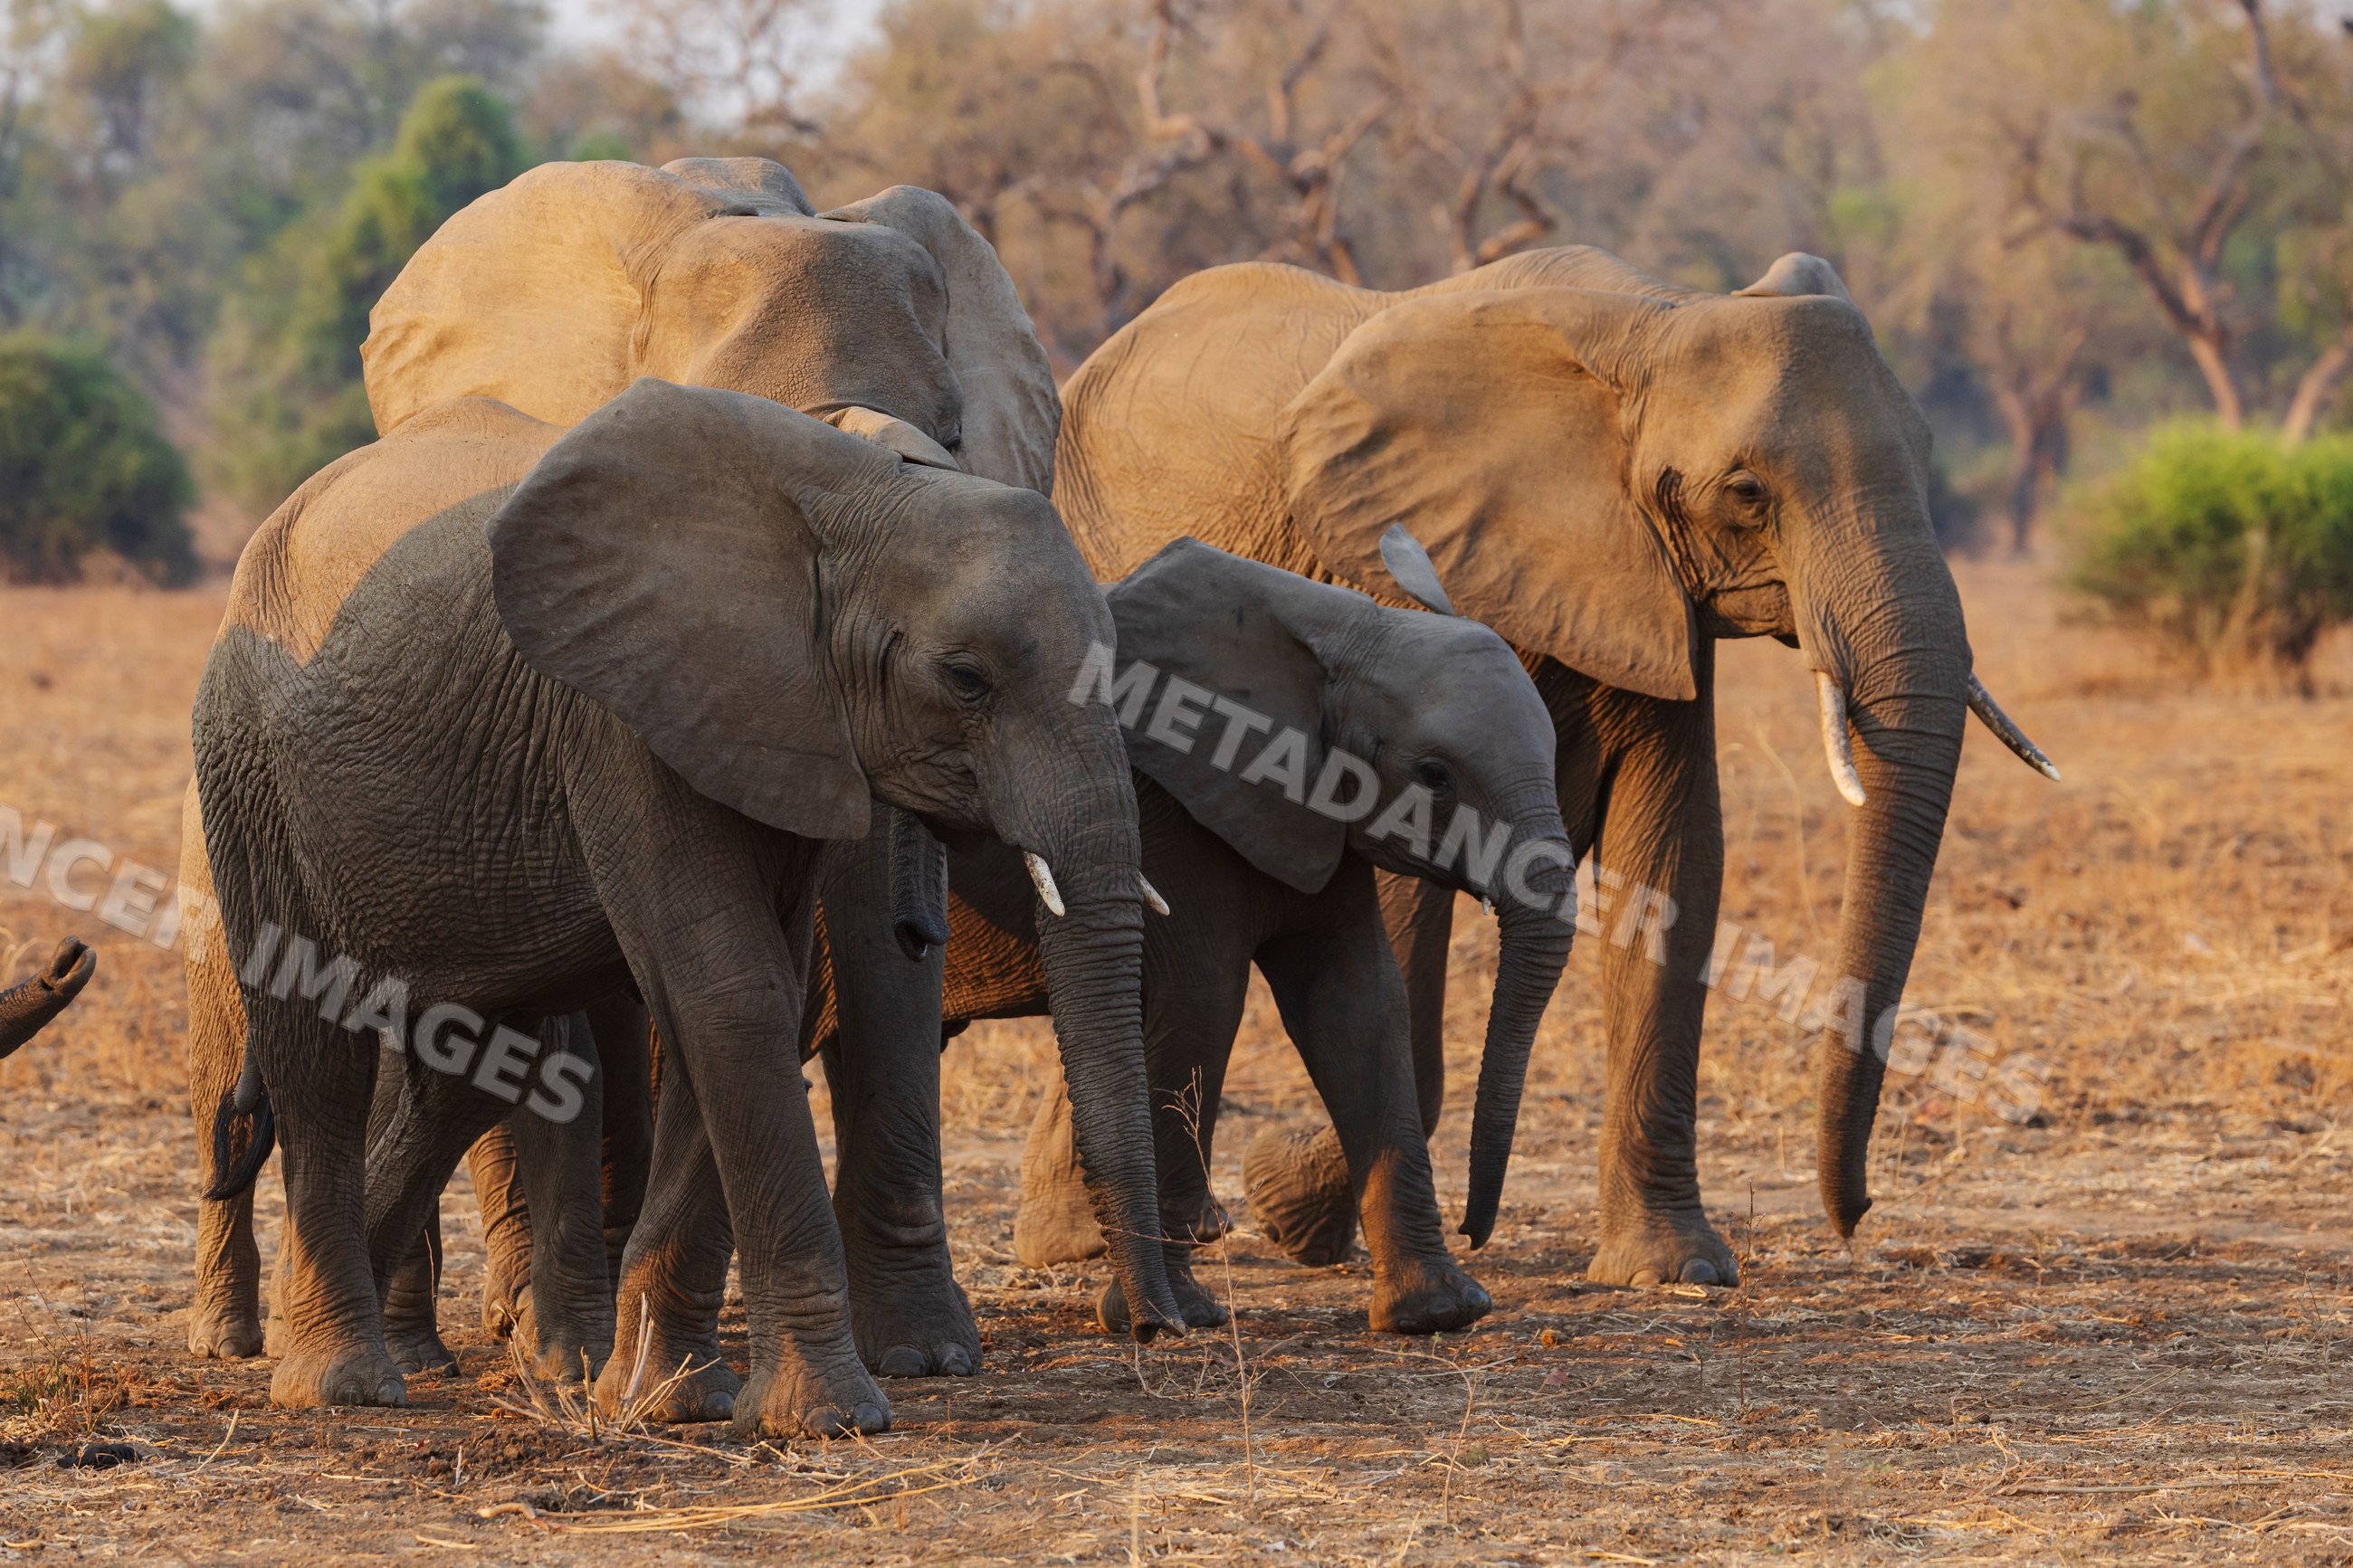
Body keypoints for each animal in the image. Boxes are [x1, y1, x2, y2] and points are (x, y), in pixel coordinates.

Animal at [1039, 246, 2059, 1285]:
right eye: (1745, 492)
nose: (1857, 1212)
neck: (1653, 323)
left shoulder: (1653, 591)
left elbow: (1675, 856)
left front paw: (1671, 1266)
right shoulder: (1389, 575)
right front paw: (1289, 1204)